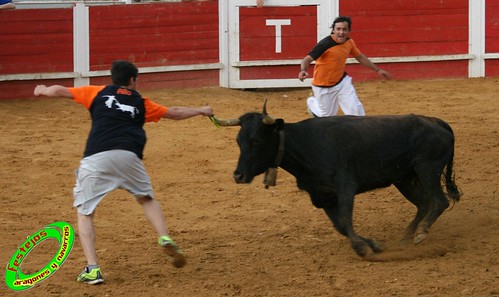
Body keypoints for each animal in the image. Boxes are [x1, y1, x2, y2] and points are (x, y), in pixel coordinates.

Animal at [217, 106, 462, 256]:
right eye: (238, 140)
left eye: (256, 140)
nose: (238, 175)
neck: (304, 145)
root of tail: (437, 122)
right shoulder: (323, 197)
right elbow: (341, 226)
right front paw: (371, 244)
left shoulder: (346, 188)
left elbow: (345, 220)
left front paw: (362, 248)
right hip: (403, 179)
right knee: (423, 203)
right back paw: (406, 238)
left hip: (427, 169)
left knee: (439, 201)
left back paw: (420, 234)